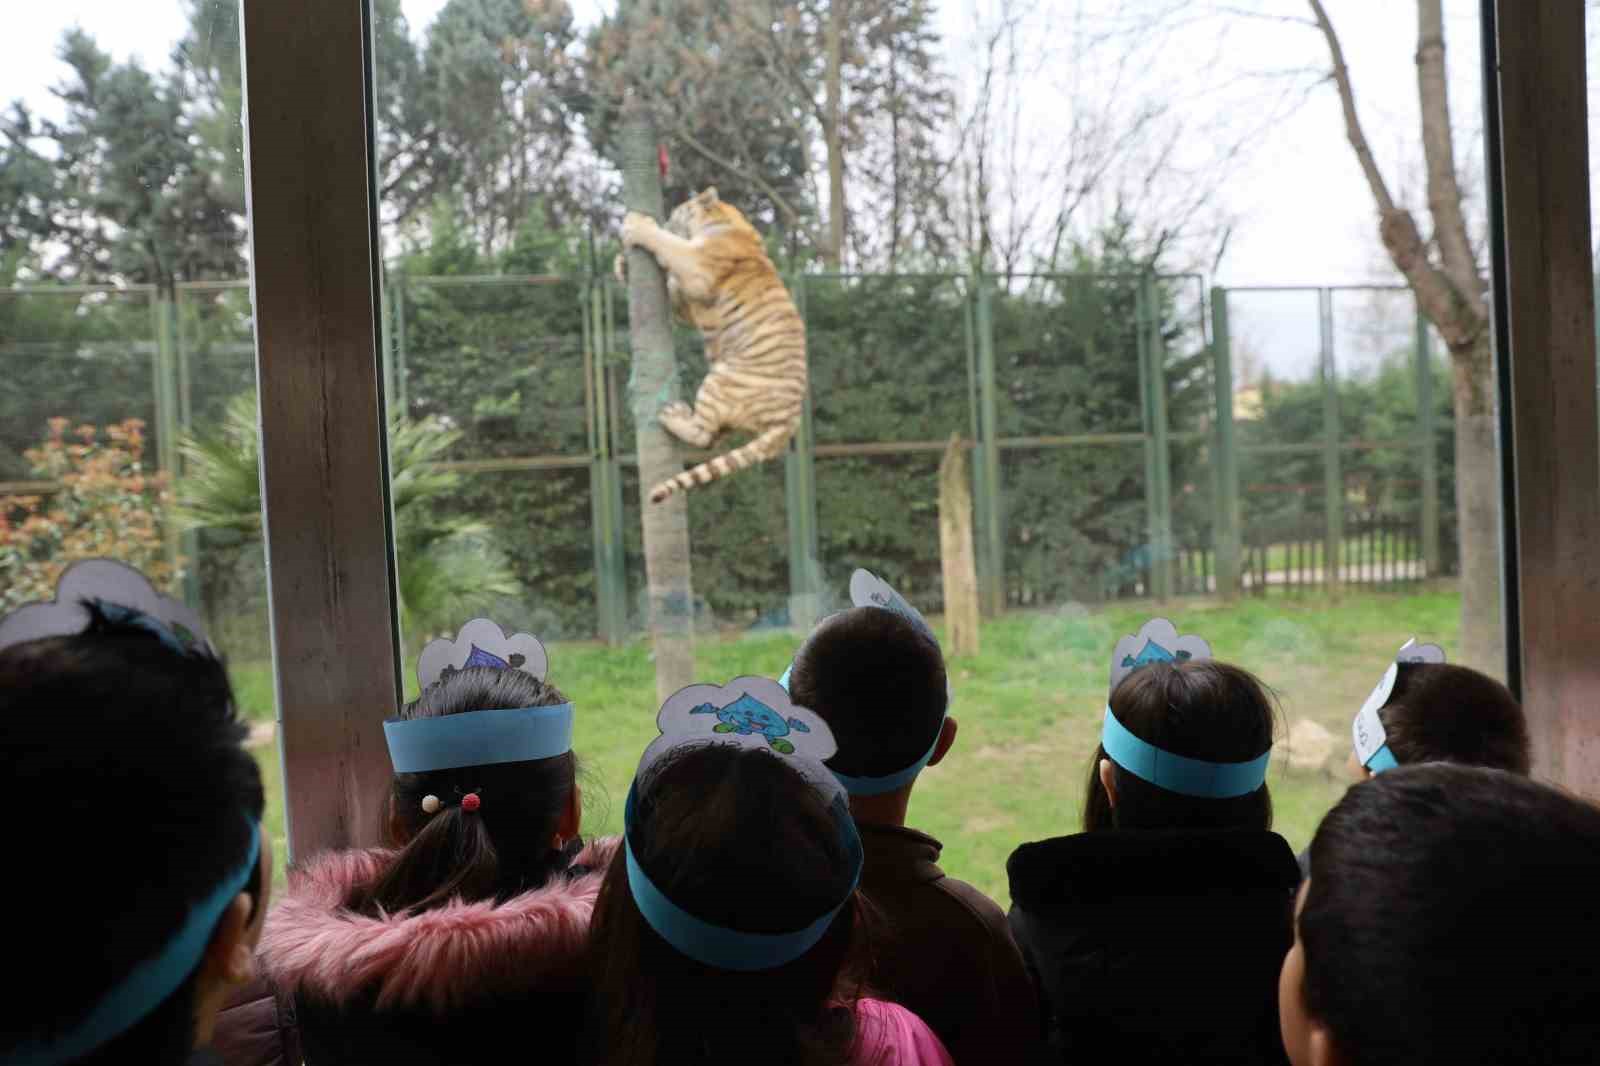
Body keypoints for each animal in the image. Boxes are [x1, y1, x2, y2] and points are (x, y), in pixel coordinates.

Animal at [614, 188, 806, 505]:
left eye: (676, 211)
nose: (666, 218)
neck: (725, 221)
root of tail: (789, 423)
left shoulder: (696, 267)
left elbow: (669, 246)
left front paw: (639, 225)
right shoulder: (687, 302)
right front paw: (622, 265)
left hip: (720, 380)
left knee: (703, 436)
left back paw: (672, 415)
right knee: (712, 438)